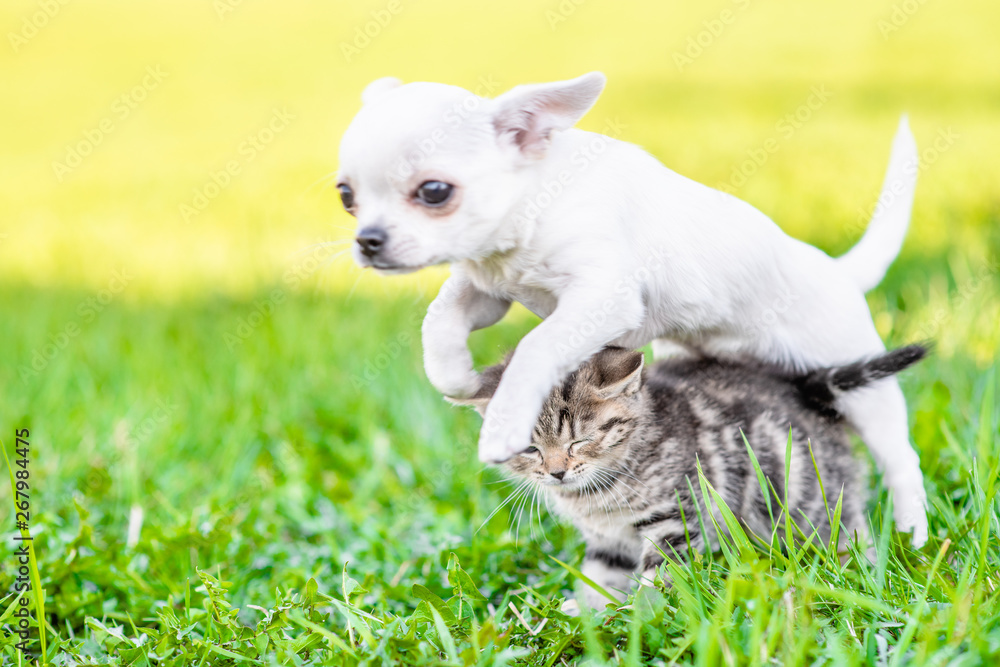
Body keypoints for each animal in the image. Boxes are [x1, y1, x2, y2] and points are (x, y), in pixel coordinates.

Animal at [336, 73, 928, 544]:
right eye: (347, 196)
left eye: (435, 192)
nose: (367, 241)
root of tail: (838, 271)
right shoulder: (488, 288)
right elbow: (441, 317)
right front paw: (459, 377)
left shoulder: (602, 300)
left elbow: (536, 345)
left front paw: (503, 419)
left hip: (862, 389)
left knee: (901, 459)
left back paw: (912, 534)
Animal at [450, 348, 924, 608]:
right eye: (529, 450)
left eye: (580, 440)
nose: (556, 472)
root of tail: (799, 385)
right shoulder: (606, 542)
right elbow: (599, 578)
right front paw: (589, 612)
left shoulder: (677, 517)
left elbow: (658, 576)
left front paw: (637, 613)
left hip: (804, 497)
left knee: (842, 525)